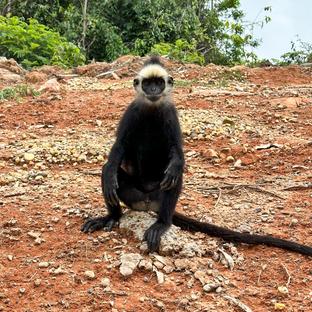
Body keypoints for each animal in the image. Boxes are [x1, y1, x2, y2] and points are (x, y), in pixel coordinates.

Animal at [82, 56, 312, 256]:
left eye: (158, 83)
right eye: (147, 84)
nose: (154, 90)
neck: (153, 108)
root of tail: (147, 202)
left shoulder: (170, 113)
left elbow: (177, 152)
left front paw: (175, 165)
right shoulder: (133, 111)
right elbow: (119, 148)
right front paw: (110, 176)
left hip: (159, 197)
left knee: (175, 177)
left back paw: (162, 223)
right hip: (134, 195)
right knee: (108, 173)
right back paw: (111, 217)